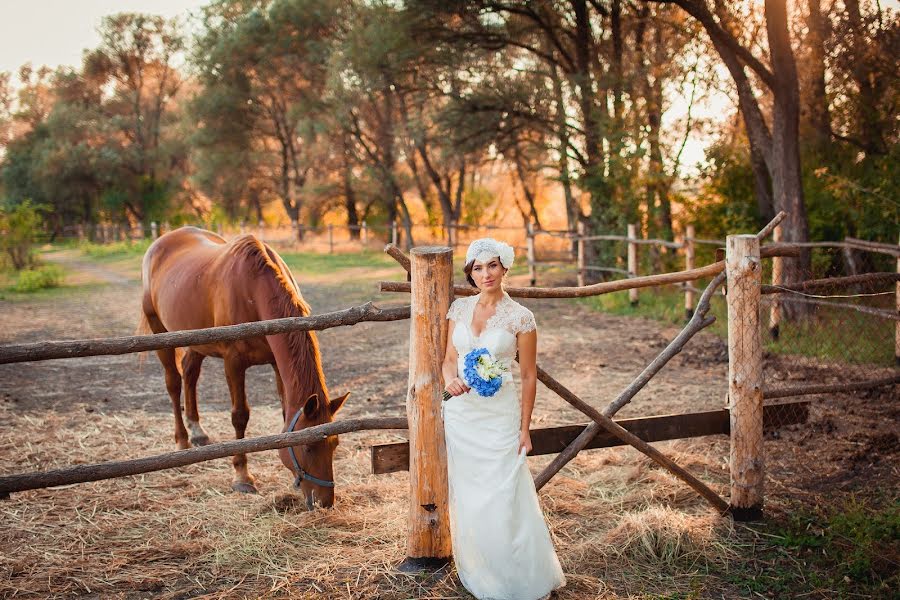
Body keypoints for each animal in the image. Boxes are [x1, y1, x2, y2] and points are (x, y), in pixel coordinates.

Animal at [141, 226, 348, 506]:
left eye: (334, 444)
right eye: (307, 447)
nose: (325, 501)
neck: (253, 291)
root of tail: (161, 242)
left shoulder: (275, 364)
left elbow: (284, 411)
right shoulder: (234, 363)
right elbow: (240, 416)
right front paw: (242, 476)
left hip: (195, 340)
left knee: (190, 374)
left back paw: (197, 432)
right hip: (160, 332)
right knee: (173, 383)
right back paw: (182, 441)